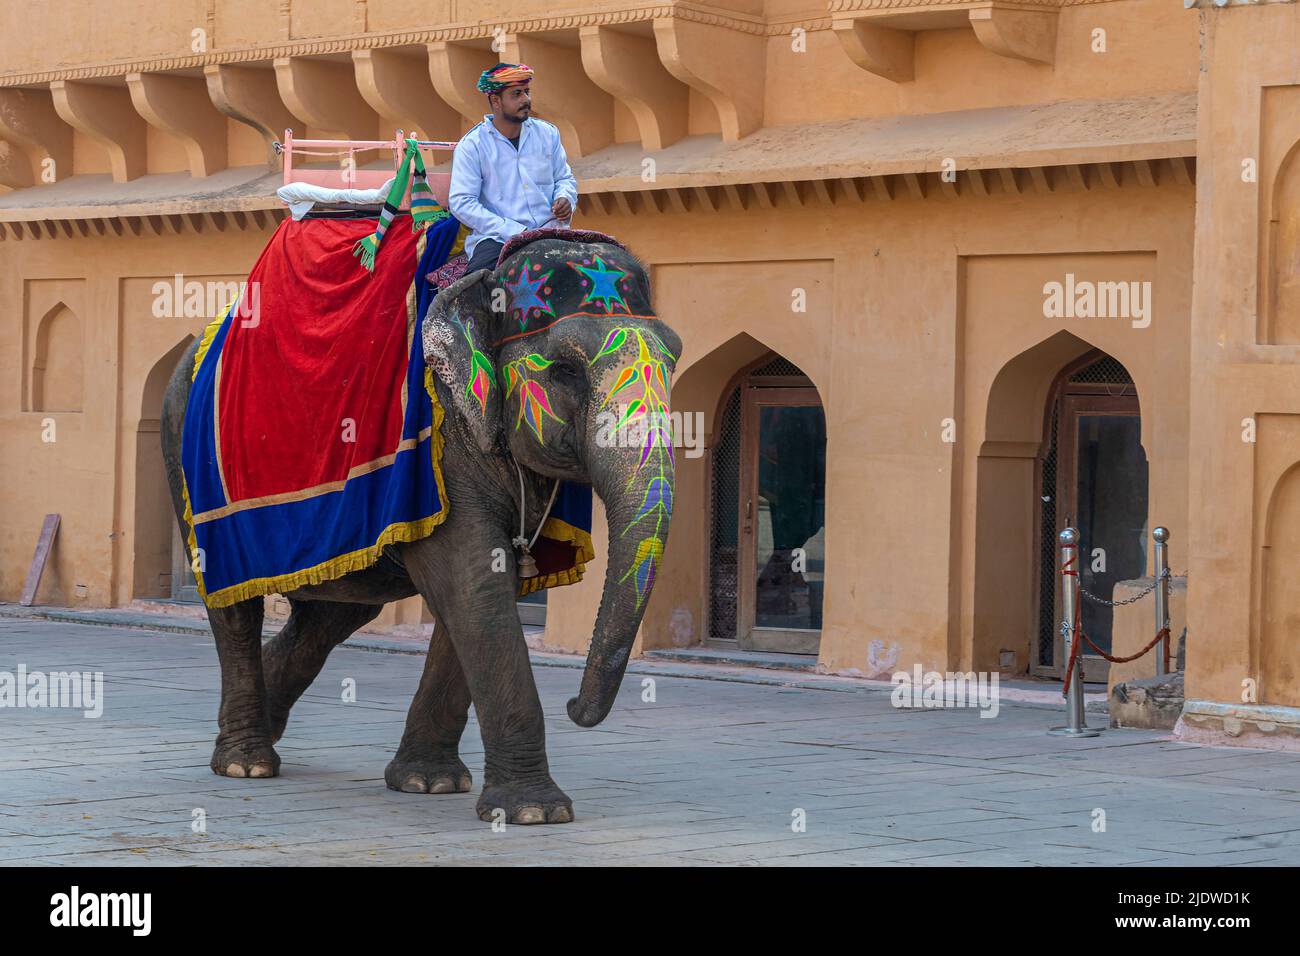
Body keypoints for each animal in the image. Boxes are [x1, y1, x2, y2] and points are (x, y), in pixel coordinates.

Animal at [159, 227, 681, 827]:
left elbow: (484, 587)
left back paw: (262, 729)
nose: (573, 706)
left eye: (675, 359)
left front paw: (428, 784)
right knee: (235, 608)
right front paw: (534, 813)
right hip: (185, 454)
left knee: (331, 616)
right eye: (565, 370)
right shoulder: (441, 440)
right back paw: (246, 764)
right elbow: (473, 584)